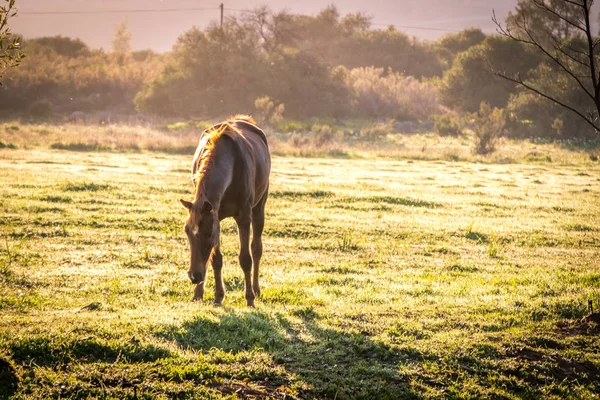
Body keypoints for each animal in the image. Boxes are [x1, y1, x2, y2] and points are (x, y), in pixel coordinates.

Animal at [179, 114, 270, 308]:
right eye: (187, 232)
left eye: (207, 234)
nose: (194, 276)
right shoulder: (216, 217)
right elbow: (216, 259)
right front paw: (215, 296)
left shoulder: (243, 216)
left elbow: (246, 259)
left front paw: (249, 298)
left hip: (259, 207)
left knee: (256, 249)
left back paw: (256, 289)